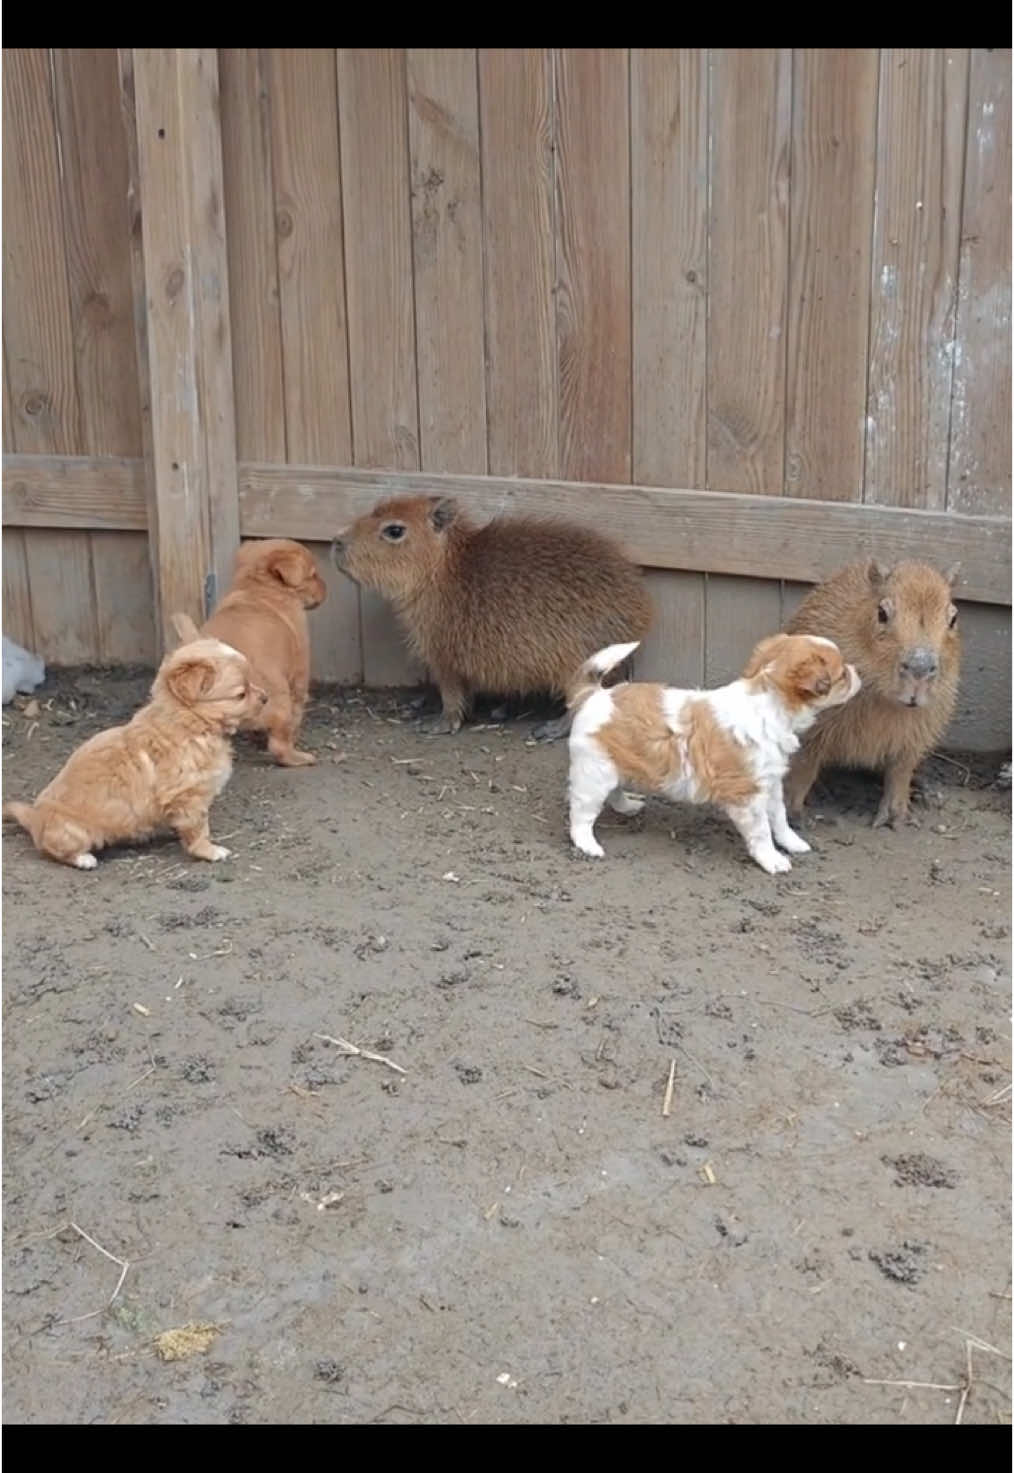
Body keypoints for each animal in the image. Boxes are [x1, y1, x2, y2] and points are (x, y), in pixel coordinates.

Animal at [2, 639, 265, 866]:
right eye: (241, 694)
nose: (265, 697)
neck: (189, 722)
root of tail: (34, 819)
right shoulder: (188, 796)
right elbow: (199, 828)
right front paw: (208, 851)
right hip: (76, 832)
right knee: (54, 850)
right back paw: (84, 859)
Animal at [172, 542, 327, 771]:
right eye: (313, 575)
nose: (325, 587)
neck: (257, 587)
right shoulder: (299, 673)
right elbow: (296, 714)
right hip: (280, 699)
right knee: (279, 746)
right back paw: (298, 757)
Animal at [565, 633, 860, 872]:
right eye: (842, 676)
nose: (857, 672)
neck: (769, 707)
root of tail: (594, 694)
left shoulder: (771, 783)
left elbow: (779, 817)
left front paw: (792, 843)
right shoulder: (747, 794)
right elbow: (762, 830)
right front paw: (772, 860)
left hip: (612, 765)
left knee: (614, 791)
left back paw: (628, 806)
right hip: (594, 773)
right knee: (581, 814)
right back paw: (588, 845)